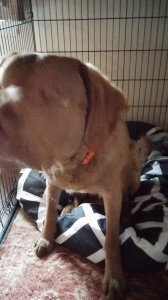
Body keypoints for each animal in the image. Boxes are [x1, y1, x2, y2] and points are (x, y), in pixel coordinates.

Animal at [0, 52, 142, 298]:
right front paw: (46, 237)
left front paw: (114, 277)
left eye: (51, 93)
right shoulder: (52, 183)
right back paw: (69, 207)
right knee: (77, 198)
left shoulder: (112, 193)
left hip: (133, 174)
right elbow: (49, 213)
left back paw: (126, 215)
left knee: (127, 197)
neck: (74, 163)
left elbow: (111, 239)